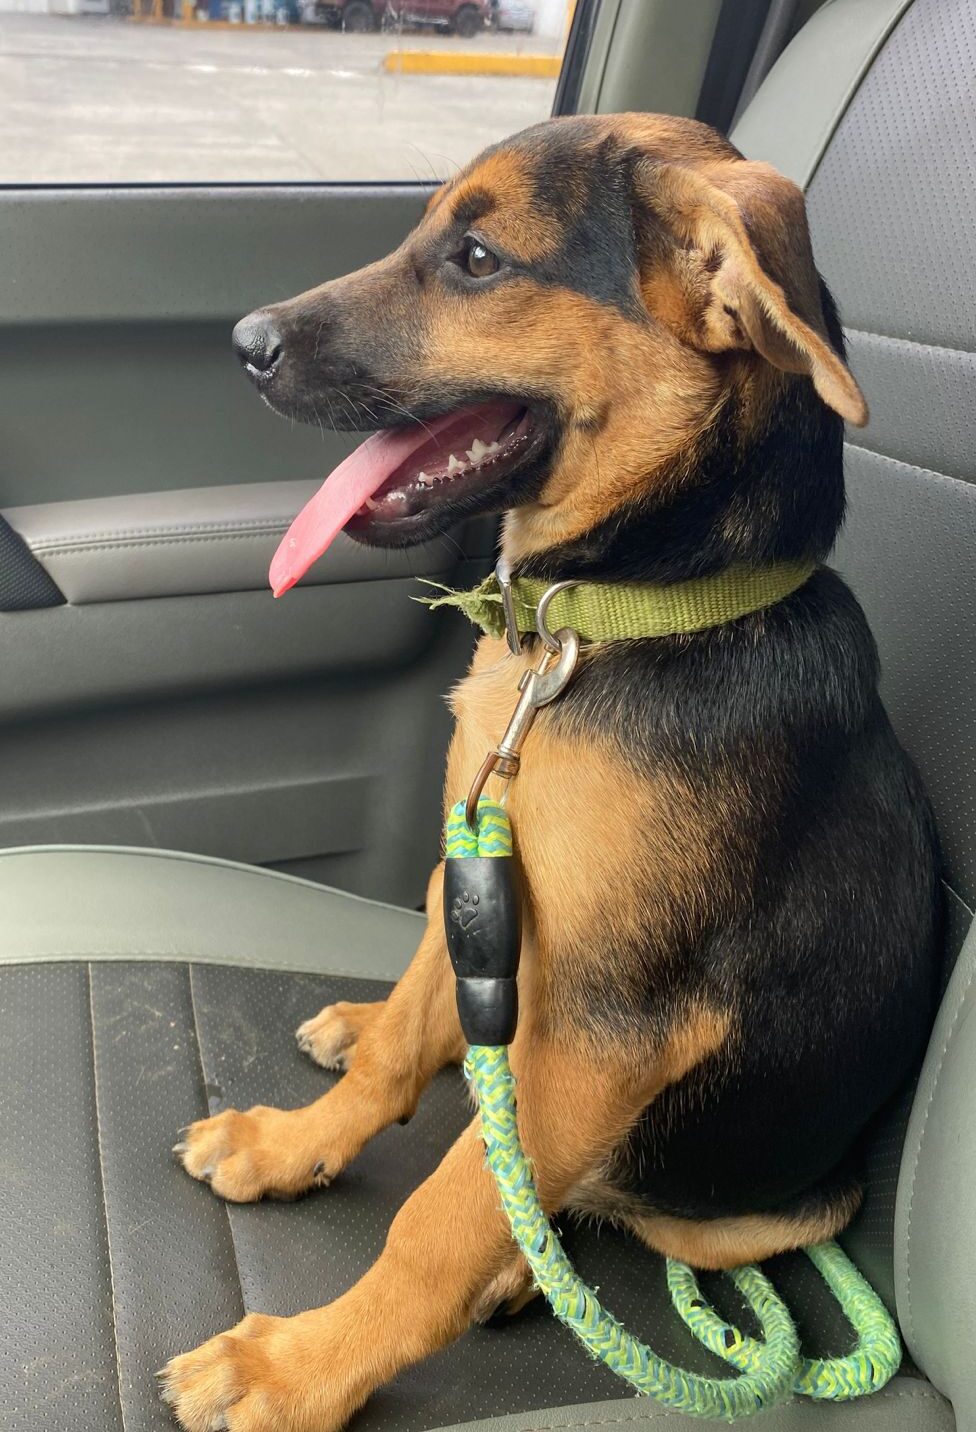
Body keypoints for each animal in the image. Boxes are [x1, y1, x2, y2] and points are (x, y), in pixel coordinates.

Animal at [159, 117, 933, 1432]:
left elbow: (446, 1215)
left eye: (476, 259)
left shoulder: (612, 1029)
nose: (243, 344)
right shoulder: (477, 868)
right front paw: (293, 1144)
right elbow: (398, 1066)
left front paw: (300, 1367)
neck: (602, 629)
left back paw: (521, 1269)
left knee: (562, 1192)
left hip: (739, 1209)